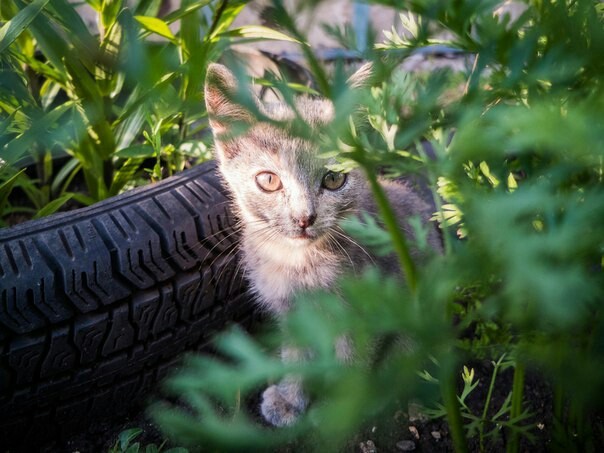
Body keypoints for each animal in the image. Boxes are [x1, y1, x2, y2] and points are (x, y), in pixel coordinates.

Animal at [203, 61, 438, 426]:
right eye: (268, 180)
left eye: (334, 178)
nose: (304, 218)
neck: (298, 263)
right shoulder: (292, 313)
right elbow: (296, 354)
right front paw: (290, 397)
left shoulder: (364, 316)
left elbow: (351, 364)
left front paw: (335, 409)